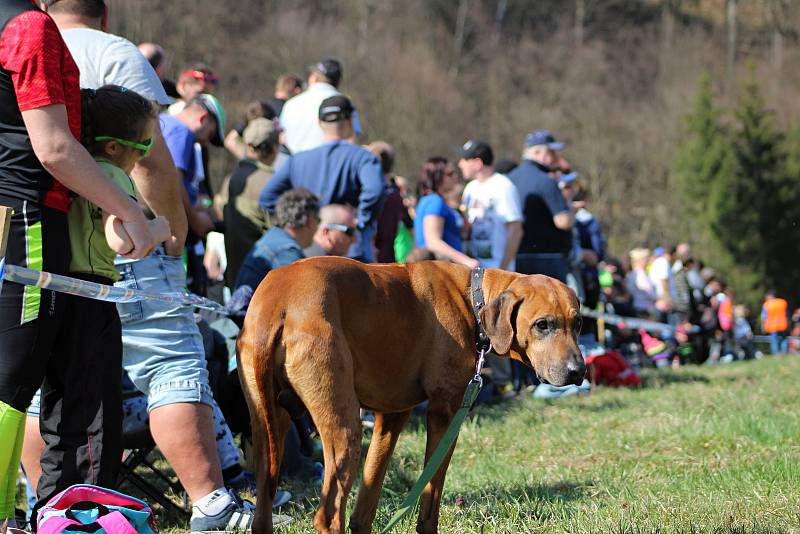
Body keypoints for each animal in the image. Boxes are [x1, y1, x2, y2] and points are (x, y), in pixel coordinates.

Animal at [234, 258, 584, 532]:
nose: (577, 371)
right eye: (542, 325)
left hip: (267, 430)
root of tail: (278, 302)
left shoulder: (391, 416)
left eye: (578, 322)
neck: (472, 299)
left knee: (264, 508)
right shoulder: (445, 413)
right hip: (344, 430)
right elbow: (431, 496)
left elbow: (368, 498)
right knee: (328, 515)